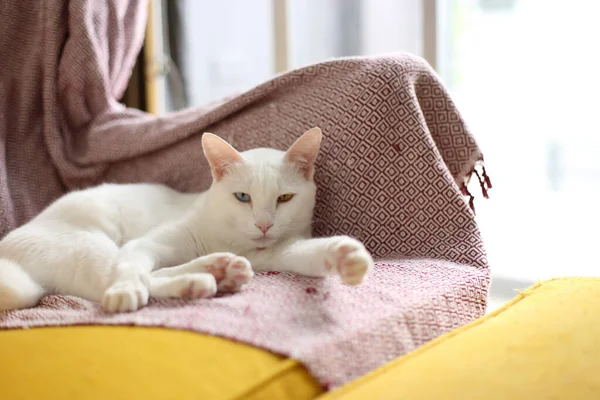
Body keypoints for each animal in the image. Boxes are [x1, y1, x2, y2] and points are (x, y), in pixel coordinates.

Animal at [0, 128, 372, 312]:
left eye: (284, 199)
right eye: (243, 197)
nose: (264, 225)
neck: (228, 238)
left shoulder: (277, 253)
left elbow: (309, 254)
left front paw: (346, 256)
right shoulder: (146, 243)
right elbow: (131, 267)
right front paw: (125, 289)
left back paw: (218, 271)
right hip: (90, 245)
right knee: (113, 280)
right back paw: (197, 280)